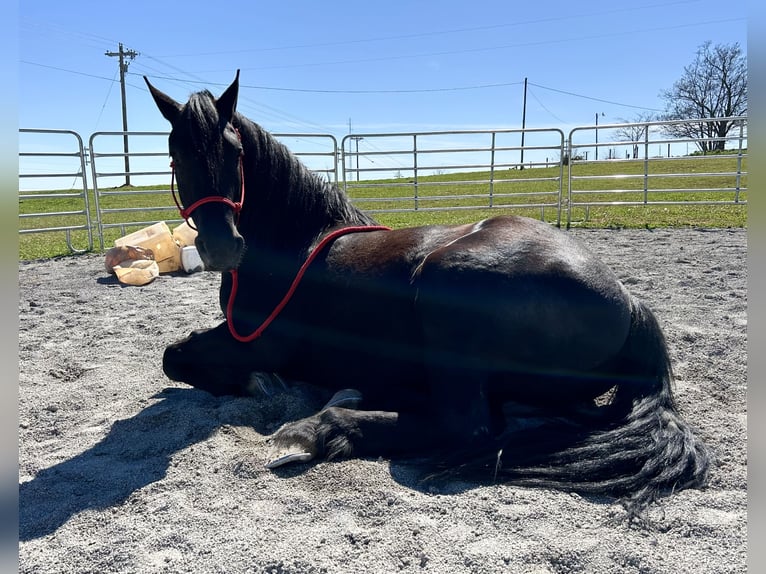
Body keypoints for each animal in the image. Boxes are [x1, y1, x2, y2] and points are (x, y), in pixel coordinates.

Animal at [146, 71, 712, 520]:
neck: (293, 243)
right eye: (176, 155)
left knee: (468, 428)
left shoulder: (259, 342)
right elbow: (175, 356)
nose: (221, 245)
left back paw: (319, 428)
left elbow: (175, 357)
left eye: (236, 153)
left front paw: (260, 384)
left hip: (446, 289)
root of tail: (632, 305)